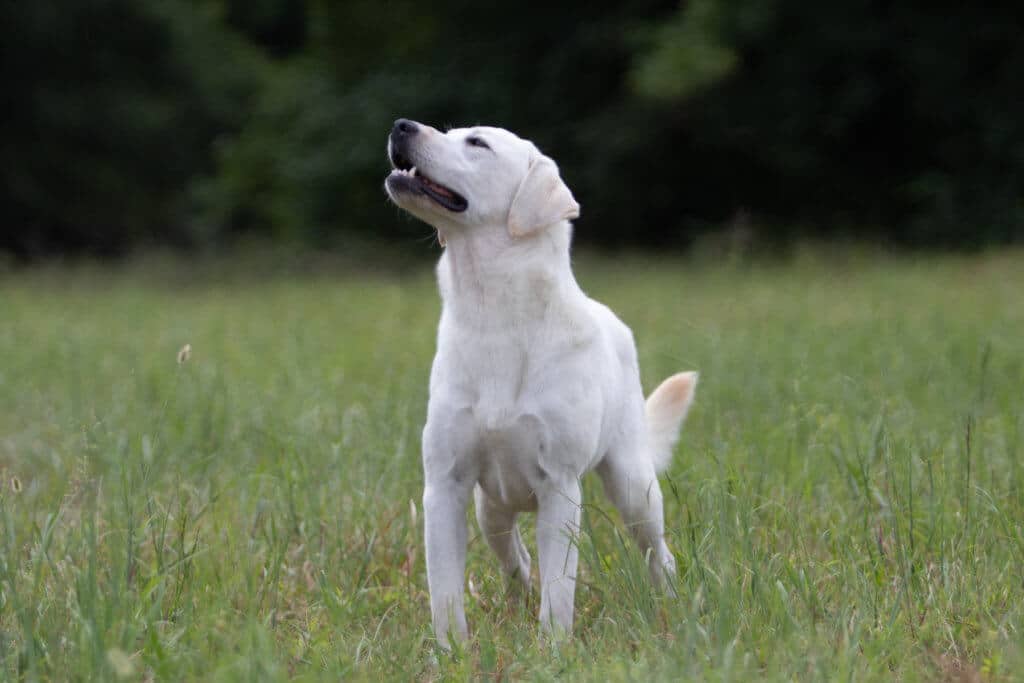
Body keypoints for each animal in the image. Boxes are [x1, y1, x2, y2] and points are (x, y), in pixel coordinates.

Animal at [385, 120, 696, 651]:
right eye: (448, 130)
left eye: (477, 143)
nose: (400, 125)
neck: (492, 310)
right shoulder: (445, 484)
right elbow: (444, 590)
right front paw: (451, 653)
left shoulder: (559, 488)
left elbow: (560, 589)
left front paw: (553, 651)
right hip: (489, 507)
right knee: (516, 559)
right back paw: (516, 606)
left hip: (634, 486)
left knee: (658, 550)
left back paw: (671, 604)